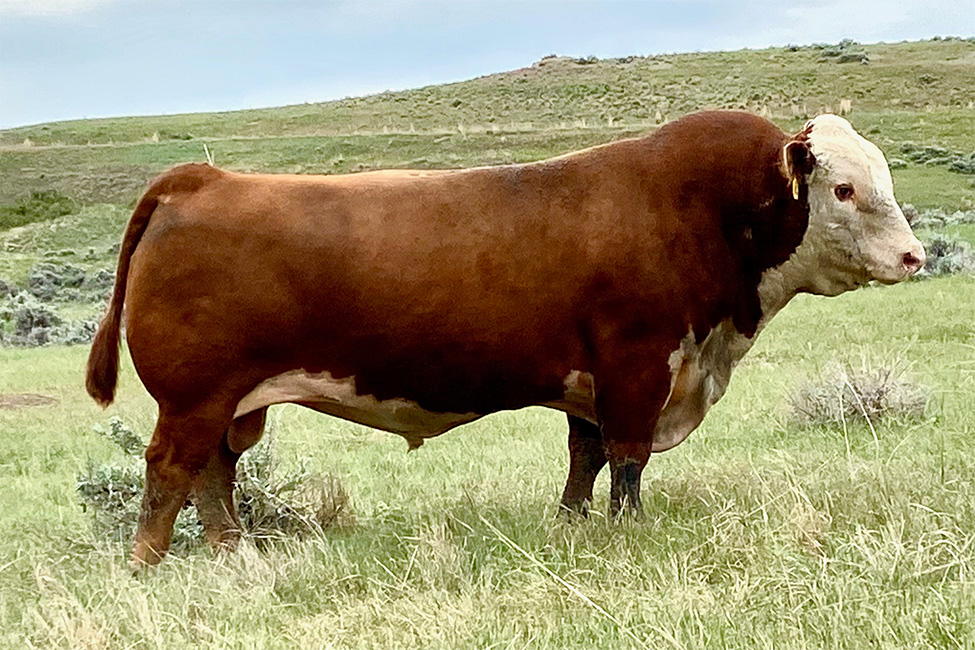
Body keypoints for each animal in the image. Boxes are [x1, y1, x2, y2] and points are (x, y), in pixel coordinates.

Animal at [87, 109, 928, 564]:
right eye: (843, 188)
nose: (913, 256)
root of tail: (202, 180)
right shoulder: (636, 367)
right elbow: (626, 460)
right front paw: (628, 533)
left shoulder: (592, 382)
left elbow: (585, 457)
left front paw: (572, 524)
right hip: (193, 396)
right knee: (168, 473)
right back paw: (146, 567)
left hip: (229, 404)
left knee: (214, 474)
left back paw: (233, 554)